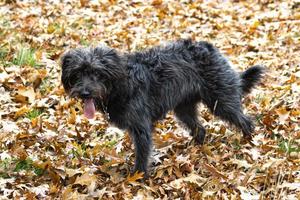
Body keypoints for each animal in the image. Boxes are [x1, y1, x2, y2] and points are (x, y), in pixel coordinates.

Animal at [60, 39, 262, 175]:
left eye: (96, 72)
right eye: (77, 73)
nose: (85, 93)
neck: (120, 85)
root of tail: (211, 49)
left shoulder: (141, 128)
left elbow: (142, 155)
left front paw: (137, 177)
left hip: (221, 101)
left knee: (245, 121)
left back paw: (248, 140)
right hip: (183, 109)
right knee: (200, 129)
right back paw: (194, 148)